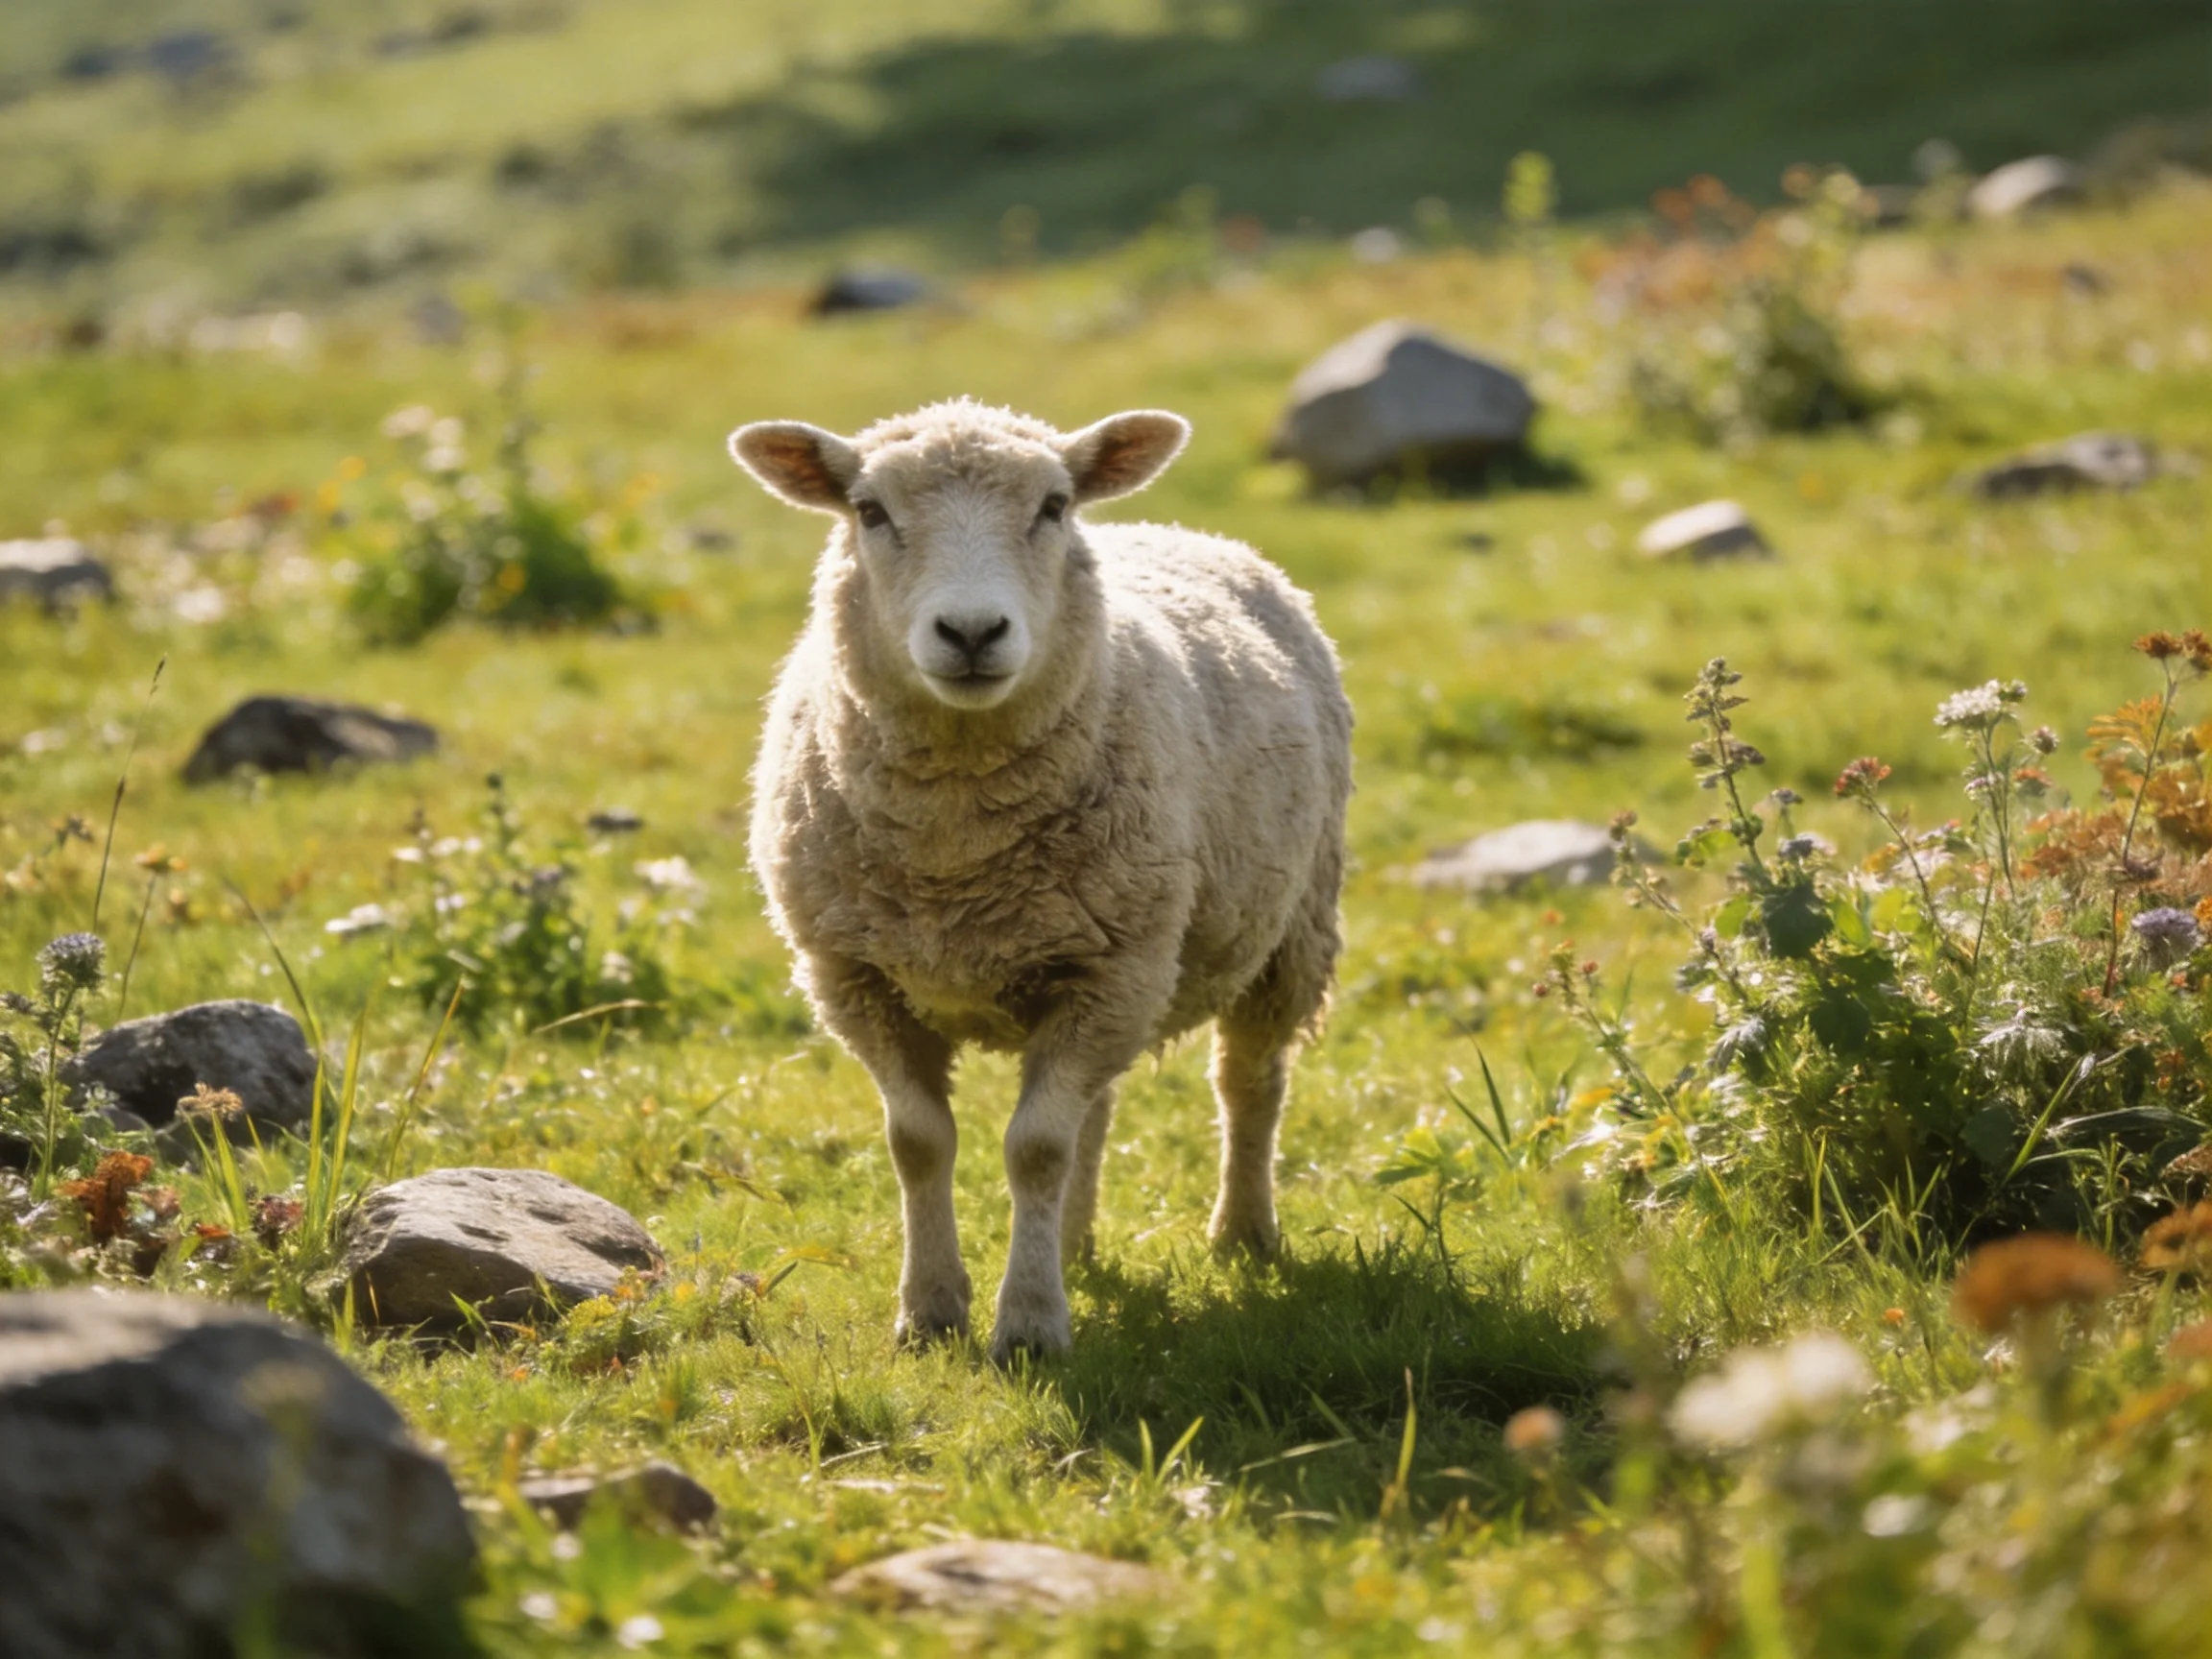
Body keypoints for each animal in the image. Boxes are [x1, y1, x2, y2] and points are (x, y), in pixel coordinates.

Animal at [728, 398, 1352, 1362]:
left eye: (1053, 506)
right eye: (869, 510)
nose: (972, 633)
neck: (955, 853)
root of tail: (1174, 528)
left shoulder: (1110, 969)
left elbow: (1034, 1152)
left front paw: (1027, 1325)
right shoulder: (856, 977)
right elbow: (919, 1142)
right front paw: (931, 1312)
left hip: (1283, 930)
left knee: (1249, 1083)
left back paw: (1242, 1233)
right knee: (1096, 1107)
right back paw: (1075, 1244)